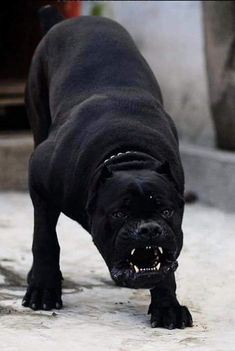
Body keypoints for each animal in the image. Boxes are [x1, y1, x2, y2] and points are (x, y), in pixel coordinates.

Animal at [22, 6, 193, 330]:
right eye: (119, 214)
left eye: (166, 212)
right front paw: (43, 288)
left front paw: (167, 306)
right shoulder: (40, 182)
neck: (128, 155)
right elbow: (45, 239)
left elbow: (167, 269)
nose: (148, 229)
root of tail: (70, 19)